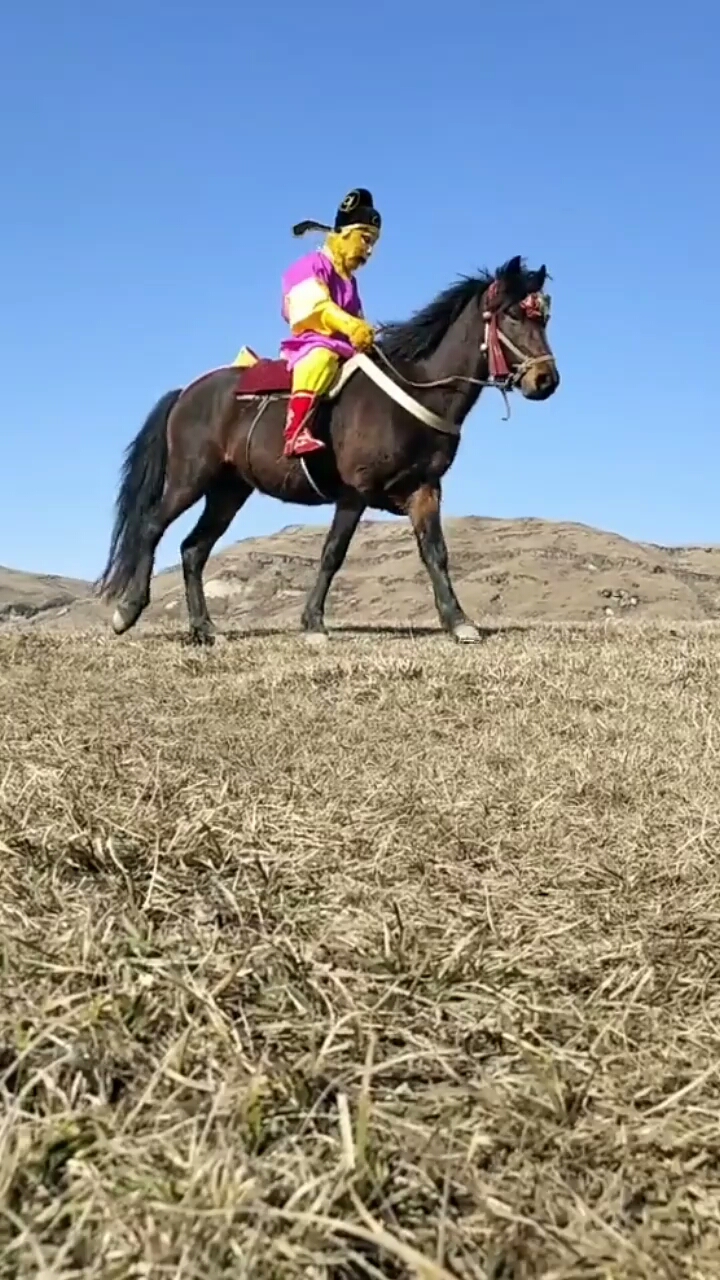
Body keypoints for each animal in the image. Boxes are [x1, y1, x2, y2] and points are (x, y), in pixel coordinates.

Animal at [97, 255, 559, 645]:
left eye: (545, 317)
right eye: (514, 314)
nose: (546, 380)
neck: (414, 391)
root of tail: (186, 393)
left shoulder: (424, 490)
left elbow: (436, 554)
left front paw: (458, 621)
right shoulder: (354, 493)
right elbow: (333, 553)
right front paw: (313, 624)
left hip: (228, 491)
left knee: (193, 550)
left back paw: (204, 628)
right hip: (190, 478)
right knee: (151, 526)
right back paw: (128, 611)